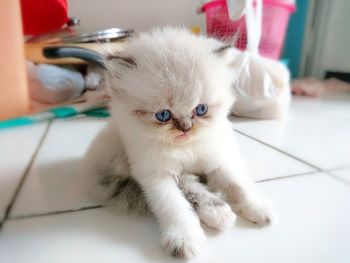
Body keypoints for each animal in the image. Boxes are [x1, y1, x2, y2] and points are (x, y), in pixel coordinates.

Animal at [82, 27, 276, 260]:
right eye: (163, 115)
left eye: (201, 110)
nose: (185, 128)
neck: (185, 150)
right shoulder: (155, 175)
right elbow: (173, 206)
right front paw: (183, 239)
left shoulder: (219, 158)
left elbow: (238, 185)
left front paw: (258, 208)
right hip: (118, 152)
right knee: (187, 182)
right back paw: (217, 211)